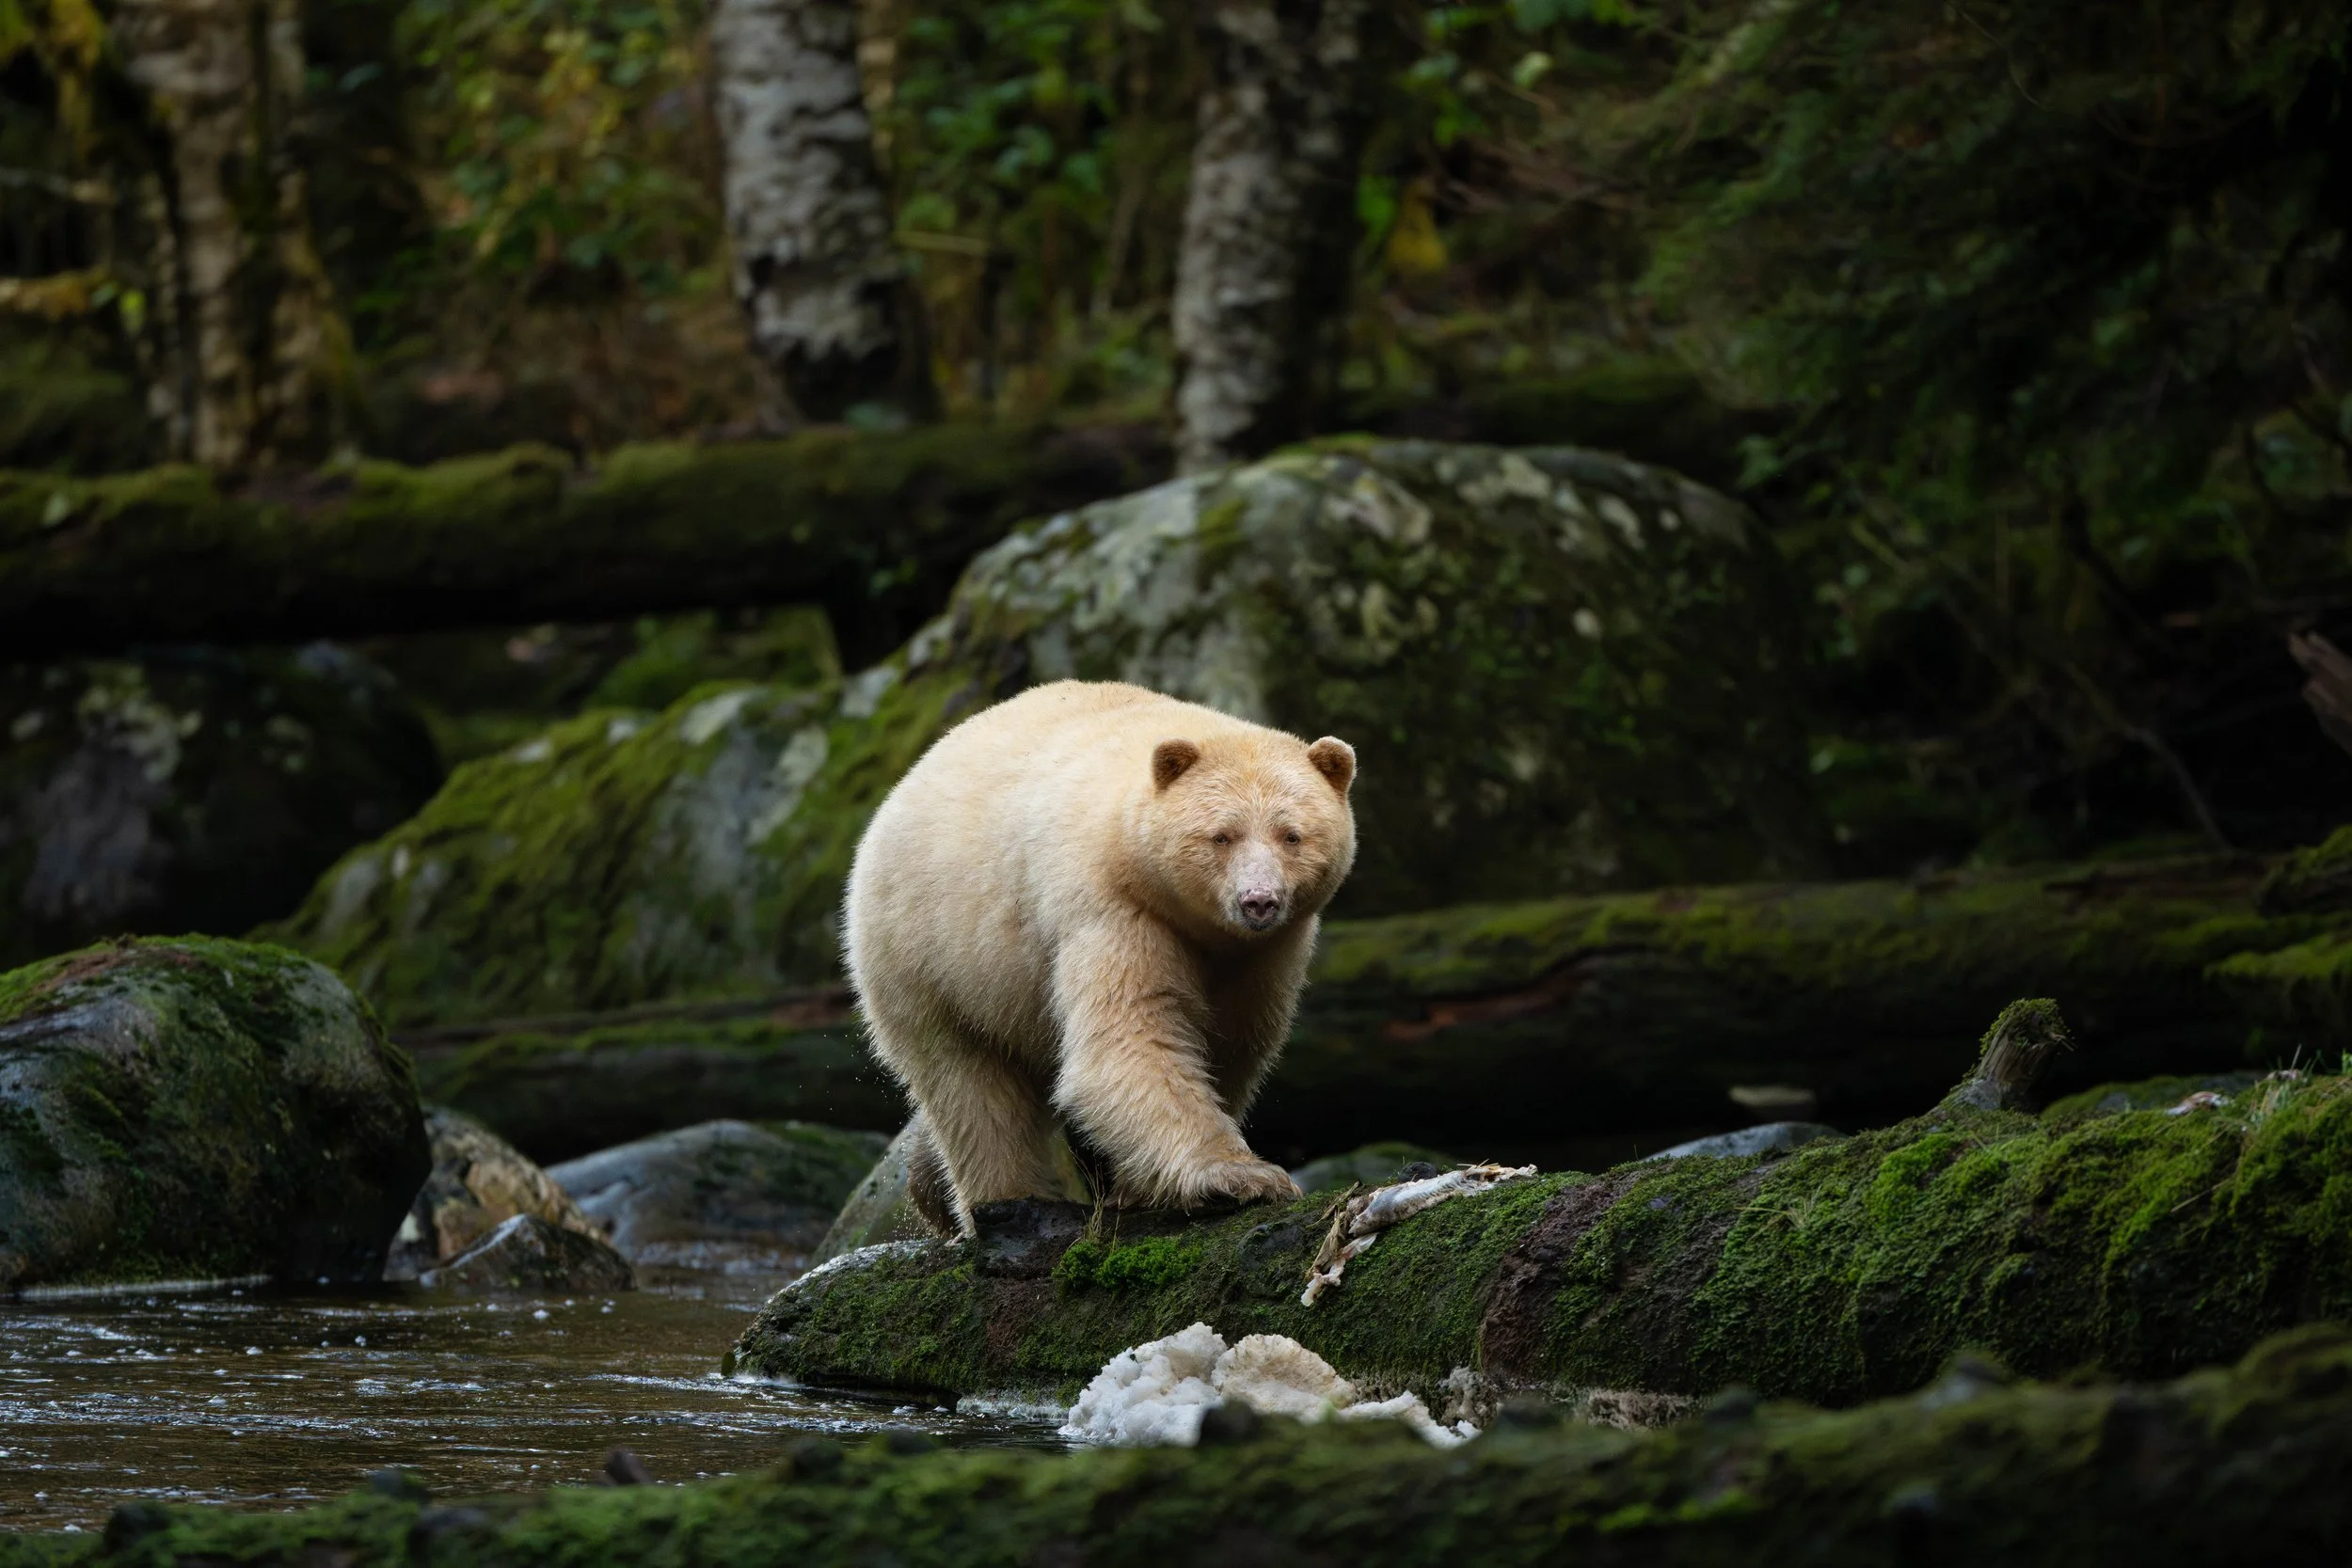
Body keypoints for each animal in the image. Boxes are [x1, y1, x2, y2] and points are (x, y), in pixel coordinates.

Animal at [843, 680, 1358, 1235]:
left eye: (1292, 835)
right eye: (1222, 835)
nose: (1258, 901)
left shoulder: (1269, 952)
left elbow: (1232, 1043)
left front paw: (1138, 1189)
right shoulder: (1110, 907)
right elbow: (1131, 1035)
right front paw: (1241, 1177)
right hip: (926, 952)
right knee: (968, 1087)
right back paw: (1004, 1200)